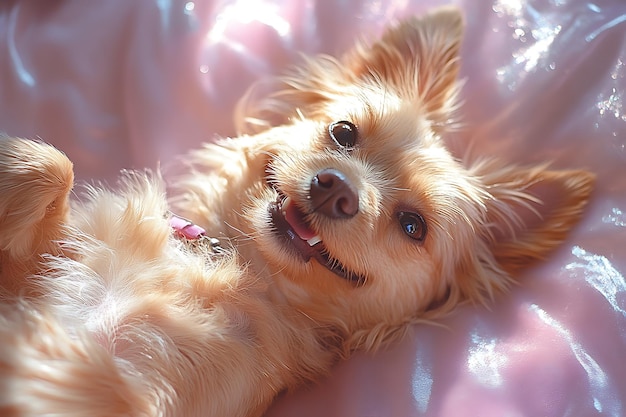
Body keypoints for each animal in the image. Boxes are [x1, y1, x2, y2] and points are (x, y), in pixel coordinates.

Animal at [0, 6, 592, 416]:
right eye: (344, 132)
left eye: (413, 226)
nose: (335, 189)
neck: (237, 266)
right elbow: (50, 164)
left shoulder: (152, 389)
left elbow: (94, 380)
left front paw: (48, 369)